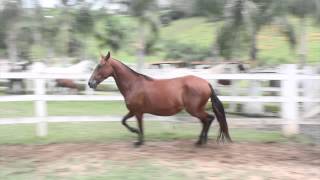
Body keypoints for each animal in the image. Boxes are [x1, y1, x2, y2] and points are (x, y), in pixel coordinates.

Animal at [89, 51, 231, 146]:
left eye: (100, 66)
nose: (90, 83)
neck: (133, 85)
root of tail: (206, 83)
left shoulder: (138, 112)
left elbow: (139, 125)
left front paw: (139, 141)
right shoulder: (133, 111)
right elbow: (123, 121)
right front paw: (137, 136)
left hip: (194, 109)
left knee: (209, 119)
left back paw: (202, 141)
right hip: (197, 109)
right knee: (205, 121)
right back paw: (200, 140)